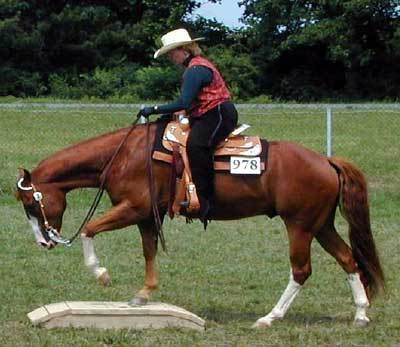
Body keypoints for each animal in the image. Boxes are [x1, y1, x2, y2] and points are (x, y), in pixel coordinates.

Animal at [14, 120, 384, 328]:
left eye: (31, 203)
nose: (44, 242)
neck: (125, 154)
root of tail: (326, 160)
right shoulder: (146, 216)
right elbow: (149, 251)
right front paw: (143, 295)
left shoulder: (133, 208)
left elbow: (91, 229)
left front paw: (101, 274)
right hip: (321, 225)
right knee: (348, 259)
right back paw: (361, 315)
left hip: (300, 226)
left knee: (301, 270)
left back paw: (270, 317)